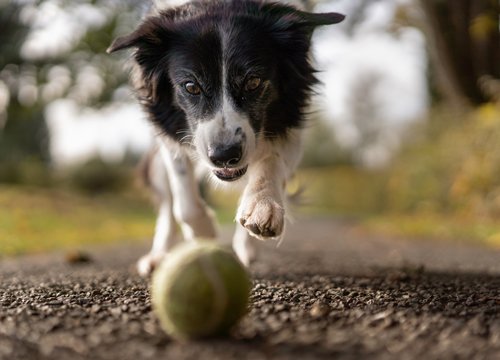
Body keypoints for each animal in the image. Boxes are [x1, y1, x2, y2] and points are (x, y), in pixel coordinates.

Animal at [108, 0, 346, 276]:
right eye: (191, 86)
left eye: (253, 82)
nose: (224, 156)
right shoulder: (170, 136)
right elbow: (184, 202)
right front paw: (205, 234)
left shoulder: (291, 122)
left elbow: (271, 161)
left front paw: (262, 206)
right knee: (168, 206)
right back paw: (159, 256)